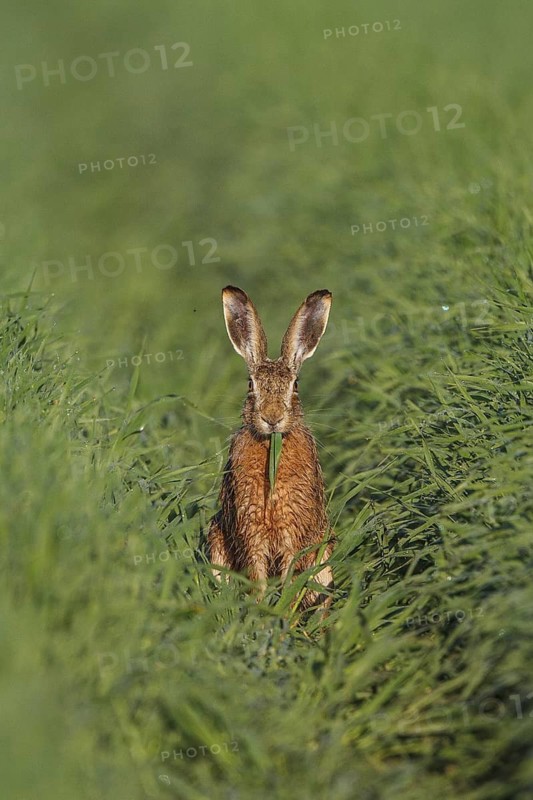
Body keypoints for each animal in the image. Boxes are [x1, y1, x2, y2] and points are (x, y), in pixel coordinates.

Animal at [207, 285, 335, 611]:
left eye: (296, 385)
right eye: (250, 385)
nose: (272, 417)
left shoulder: (293, 528)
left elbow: (291, 572)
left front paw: (282, 613)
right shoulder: (250, 527)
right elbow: (257, 574)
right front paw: (261, 610)